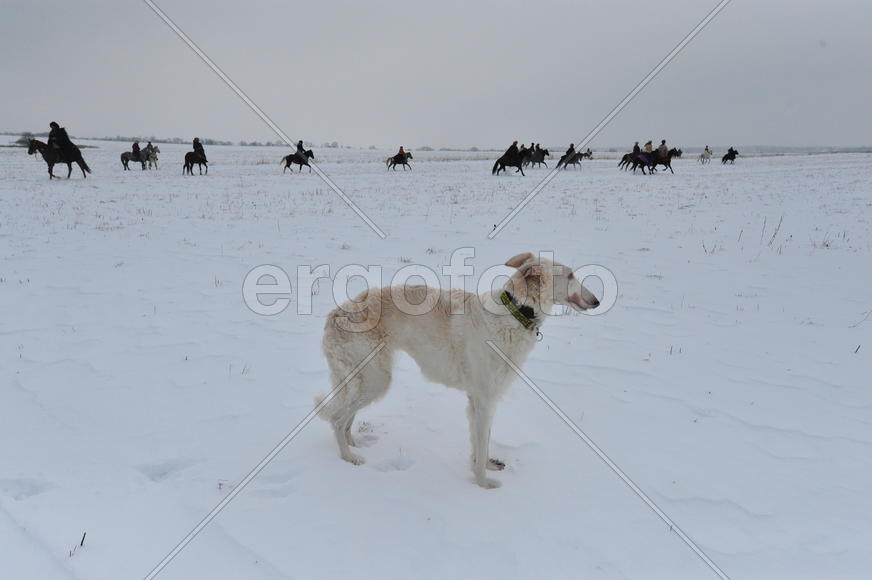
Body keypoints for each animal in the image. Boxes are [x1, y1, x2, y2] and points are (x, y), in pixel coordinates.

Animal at [318, 251, 600, 488]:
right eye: (571, 275)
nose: (597, 301)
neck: (514, 313)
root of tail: (334, 314)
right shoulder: (484, 399)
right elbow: (481, 444)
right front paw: (483, 485)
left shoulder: (480, 400)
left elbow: (481, 444)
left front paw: (486, 466)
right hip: (375, 379)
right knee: (337, 419)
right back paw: (349, 458)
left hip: (363, 379)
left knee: (346, 419)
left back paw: (354, 445)